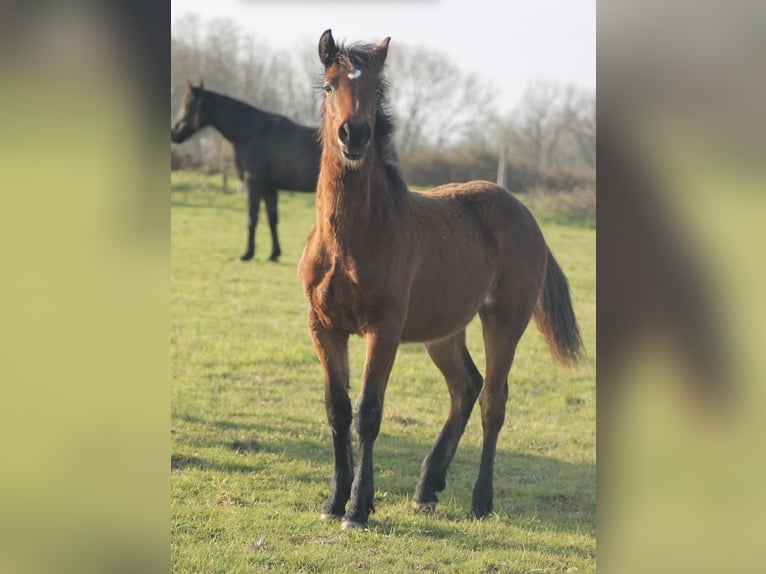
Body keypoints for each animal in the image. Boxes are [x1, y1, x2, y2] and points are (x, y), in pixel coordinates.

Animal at [172, 82, 320, 262]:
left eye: (190, 102)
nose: (174, 132)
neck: (251, 132)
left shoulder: (253, 183)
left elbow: (252, 217)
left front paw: (247, 254)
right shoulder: (269, 187)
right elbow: (272, 219)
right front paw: (274, 253)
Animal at [296, 29, 584, 532]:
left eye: (376, 90)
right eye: (330, 85)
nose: (355, 135)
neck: (354, 236)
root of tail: (526, 215)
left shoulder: (384, 329)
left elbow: (368, 412)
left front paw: (357, 509)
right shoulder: (324, 327)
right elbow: (337, 409)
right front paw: (334, 501)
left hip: (504, 321)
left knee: (492, 401)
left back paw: (480, 500)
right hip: (444, 331)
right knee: (465, 387)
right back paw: (427, 487)